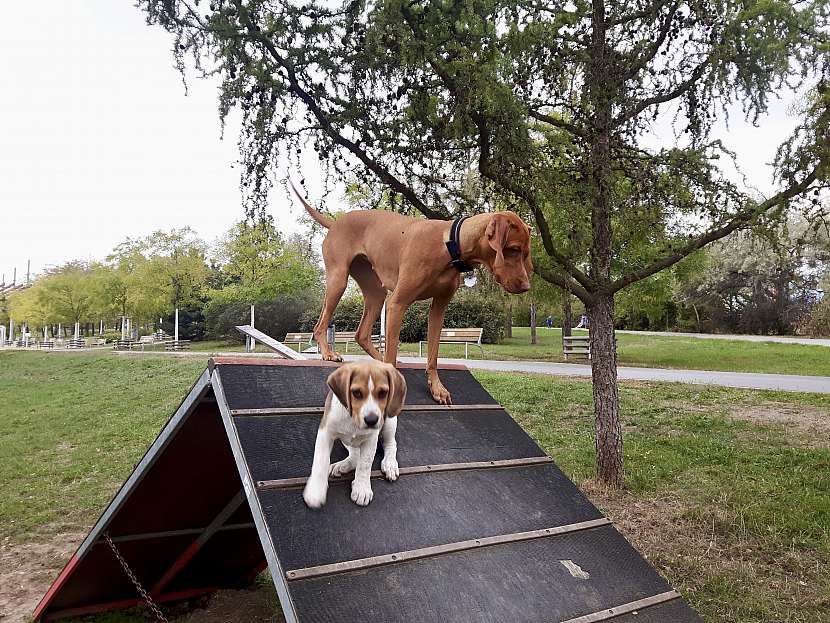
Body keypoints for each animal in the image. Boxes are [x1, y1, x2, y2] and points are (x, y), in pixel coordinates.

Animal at [294, 183, 532, 402]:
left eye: (525, 253)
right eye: (513, 249)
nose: (526, 287)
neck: (450, 245)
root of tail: (335, 223)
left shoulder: (438, 309)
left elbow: (433, 355)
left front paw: (437, 388)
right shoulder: (397, 303)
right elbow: (392, 349)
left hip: (376, 293)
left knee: (361, 333)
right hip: (338, 280)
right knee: (320, 324)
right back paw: (328, 353)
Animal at [306, 358, 410, 510]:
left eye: (383, 393)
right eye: (356, 393)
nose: (371, 420)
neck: (353, 420)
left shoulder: (371, 439)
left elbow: (365, 464)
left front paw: (362, 489)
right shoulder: (325, 432)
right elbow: (321, 460)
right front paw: (315, 491)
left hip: (390, 421)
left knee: (391, 444)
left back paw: (390, 464)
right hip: (346, 440)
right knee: (355, 455)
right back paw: (342, 465)